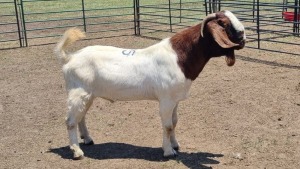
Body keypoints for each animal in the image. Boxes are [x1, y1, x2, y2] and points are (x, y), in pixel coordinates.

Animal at [55, 10, 246, 160]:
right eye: (223, 23)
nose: (244, 36)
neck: (179, 57)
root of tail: (70, 57)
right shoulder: (166, 100)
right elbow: (167, 125)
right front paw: (168, 152)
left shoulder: (175, 99)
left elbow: (174, 122)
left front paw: (175, 145)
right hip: (78, 93)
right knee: (70, 121)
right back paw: (77, 151)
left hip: (88, 95)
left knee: (81, 117)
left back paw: (87, 139)